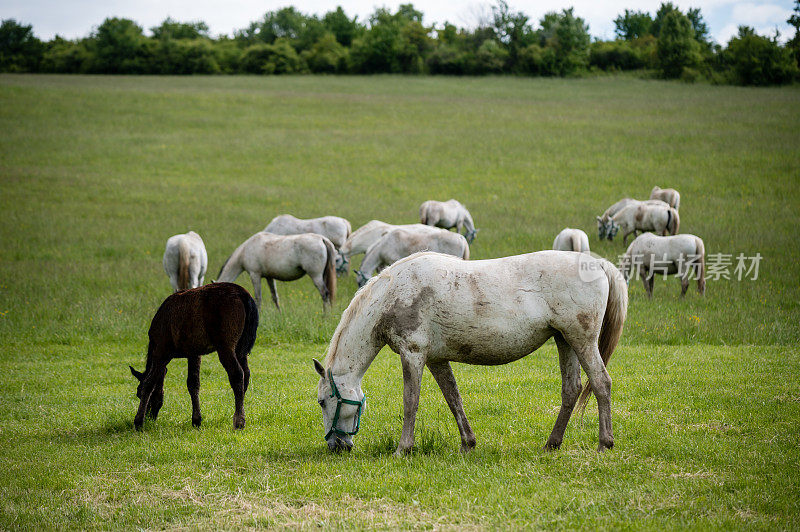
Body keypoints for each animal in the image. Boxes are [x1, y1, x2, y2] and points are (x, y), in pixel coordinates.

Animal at [130, 284, 256, 430]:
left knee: (237, 373)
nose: (150, 417)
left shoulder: (161, 350)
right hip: (240, 347)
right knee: (246, 373)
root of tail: (243, 294)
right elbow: (193, 383)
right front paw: (196, 419)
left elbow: (149, 382)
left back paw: (239, 421)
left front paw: (138, 421)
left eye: (138, 393)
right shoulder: (194, 352)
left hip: (226, 345)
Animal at [312, 249, 624, 454]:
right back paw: (552, 444)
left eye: (323, 402)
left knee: (601, 383)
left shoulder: (413, 355)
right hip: (565, 341)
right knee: (571, 390)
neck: (394, 294)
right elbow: (454, 399)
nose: (335, 446)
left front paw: (403, 449)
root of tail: (598, 263)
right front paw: (467, 443)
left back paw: (604, 443)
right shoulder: (436, 360)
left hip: (582, 341)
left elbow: (410, 402)